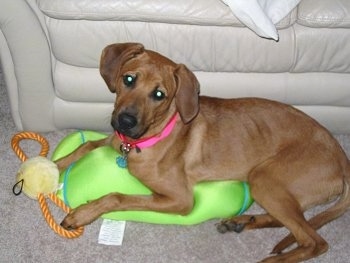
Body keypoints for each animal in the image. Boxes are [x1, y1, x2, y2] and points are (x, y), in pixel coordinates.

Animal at [56, 42, 350, 262]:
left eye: (159, 95)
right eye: (128, 79)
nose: (126, 122)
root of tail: (342, 157)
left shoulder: (180, 199)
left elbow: (117, 196)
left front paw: (83, 212)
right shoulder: (113, 141)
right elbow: (85, 146)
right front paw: (54, 164)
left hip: (264, 178)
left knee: (315, 242)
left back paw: (270, 258)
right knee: (292, 224)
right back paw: (241, 221)